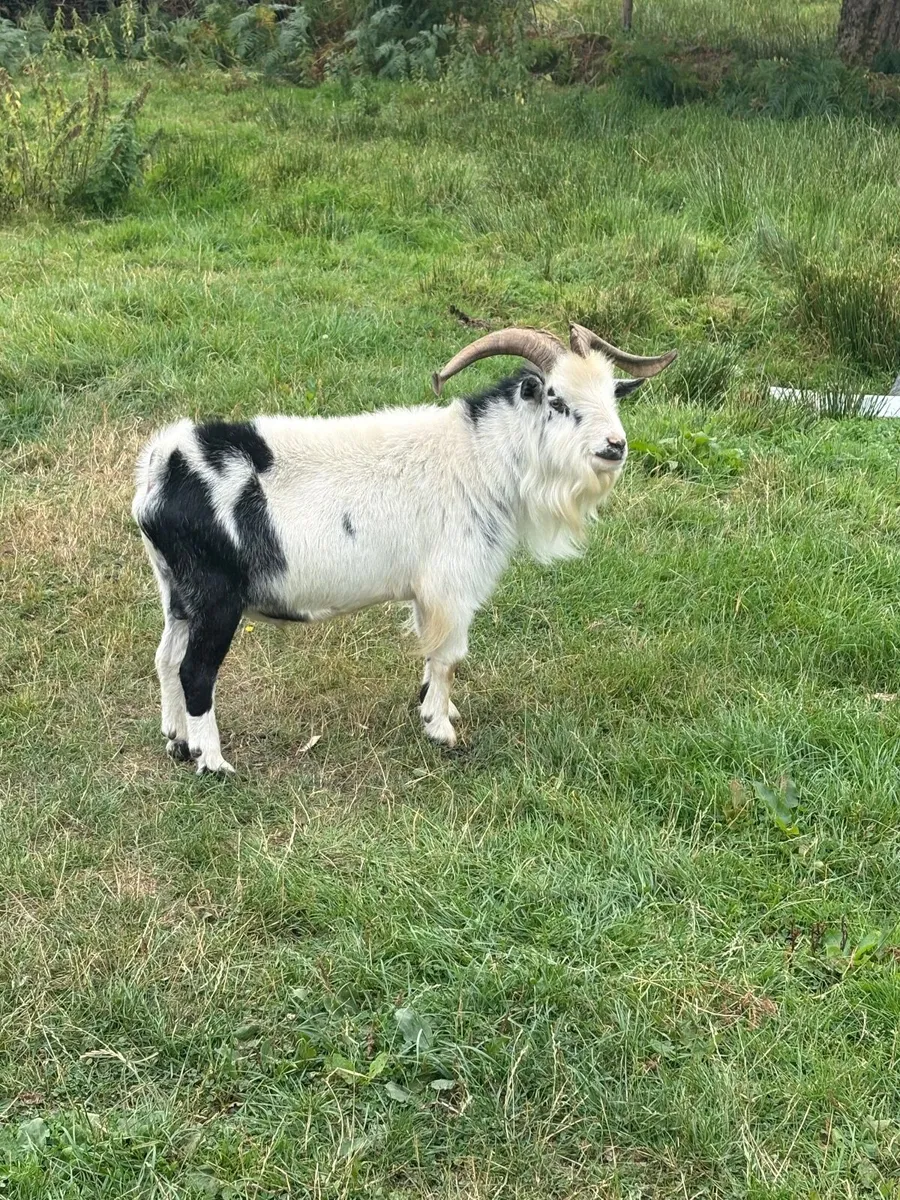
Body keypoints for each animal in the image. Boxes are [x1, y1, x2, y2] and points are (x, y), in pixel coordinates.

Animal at [132, 324, 676, 773]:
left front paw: (435, 707)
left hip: (177, 593)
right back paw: (213, 762)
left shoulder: (425, 593)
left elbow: (431, 655)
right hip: (216, 597)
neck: (477, 458)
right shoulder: (450, 586)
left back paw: (178, 741)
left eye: (612, 394)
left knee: (165, 658)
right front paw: (441, 729)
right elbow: (448, 656)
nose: (615, 446)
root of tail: (163, 467)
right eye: (557, 400)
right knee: (195, 671)